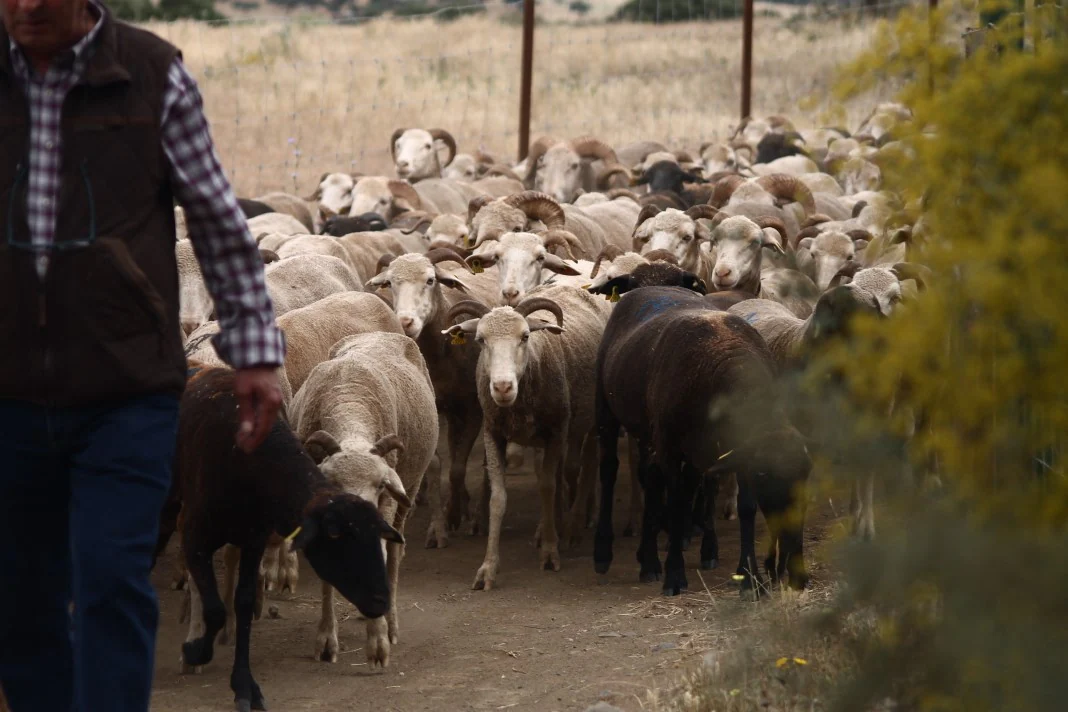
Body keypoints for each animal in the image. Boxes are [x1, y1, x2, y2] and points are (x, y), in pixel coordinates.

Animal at [440, 283, 610, 589]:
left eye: (525, 336)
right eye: (480, 340)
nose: (502, 387)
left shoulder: (556, 431)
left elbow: (547, 488)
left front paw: (551, 553)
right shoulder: (493, 434)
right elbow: (498, 499)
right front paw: (488, 568)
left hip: (591, 419)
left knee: (588, 465)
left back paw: (574, 526)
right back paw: (551, 525)